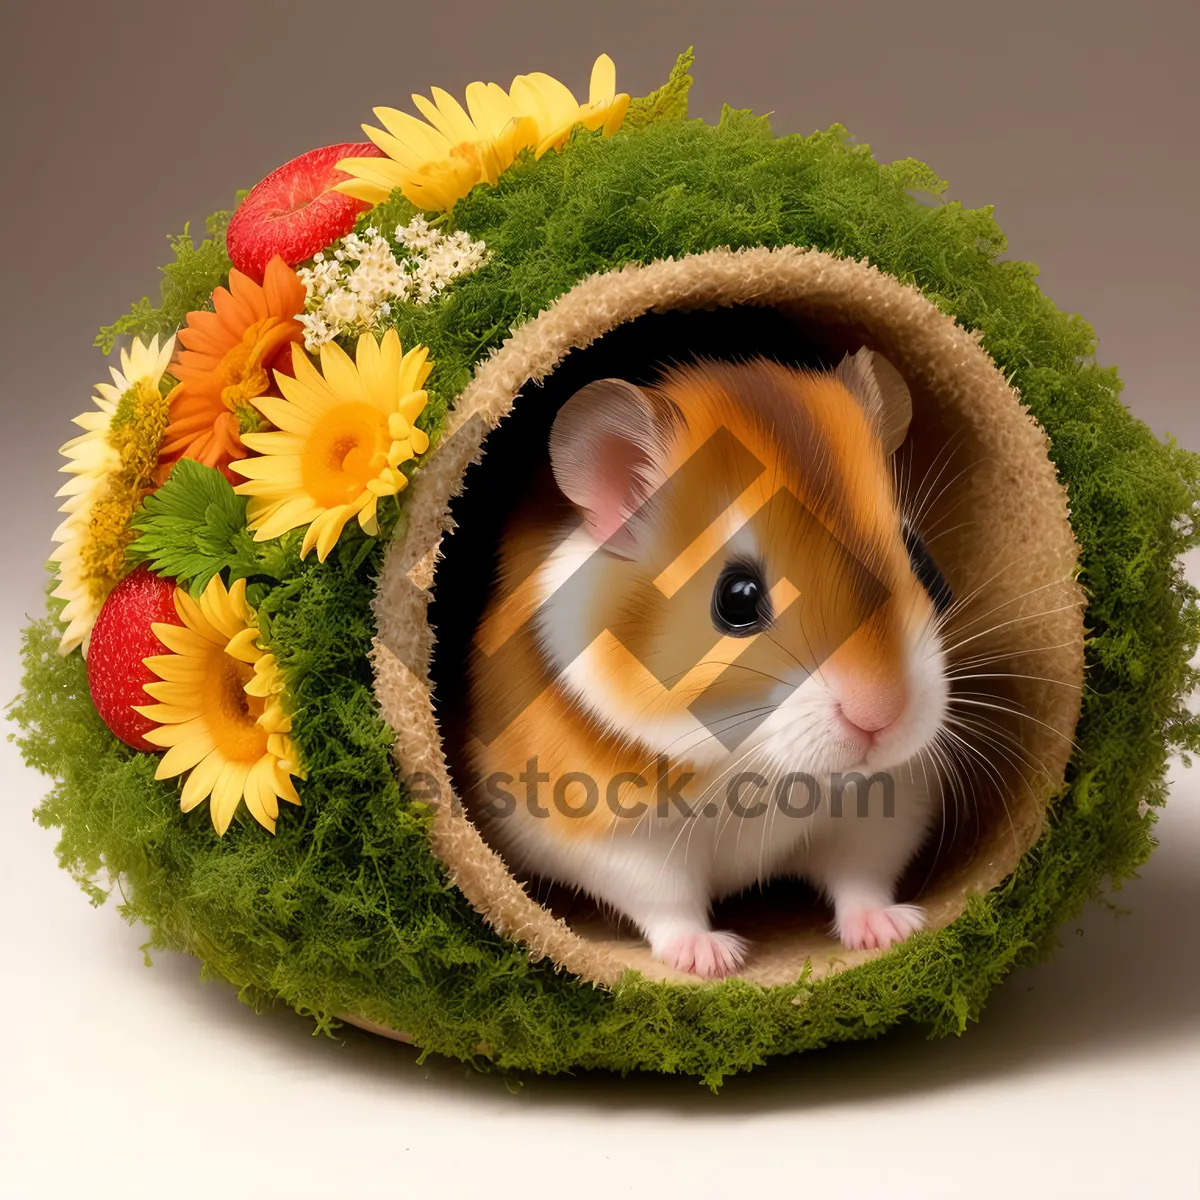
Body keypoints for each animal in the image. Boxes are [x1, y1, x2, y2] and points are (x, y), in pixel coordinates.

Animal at [463, 350, 950, 979]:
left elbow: (861, 878)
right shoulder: (614, 838)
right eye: (736, 598)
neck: (759, 767)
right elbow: (670, 905)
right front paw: (717, 961)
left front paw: (894, 931)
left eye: (922, 560)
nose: (881, 718)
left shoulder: (884, 807)